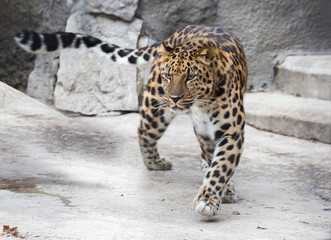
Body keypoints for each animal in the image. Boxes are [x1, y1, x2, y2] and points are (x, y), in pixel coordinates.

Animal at [16, 25, 249, 217]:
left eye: (190, 77)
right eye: (168, 75)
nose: (174, 97)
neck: (204, 103)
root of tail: (179, 32)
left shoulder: (230, 133)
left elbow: (220, 167)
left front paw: (210, 198)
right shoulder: (205, 133)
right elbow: (215, 165)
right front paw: (211, 198)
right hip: (155, 107)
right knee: (144, 131)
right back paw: (154, 162)